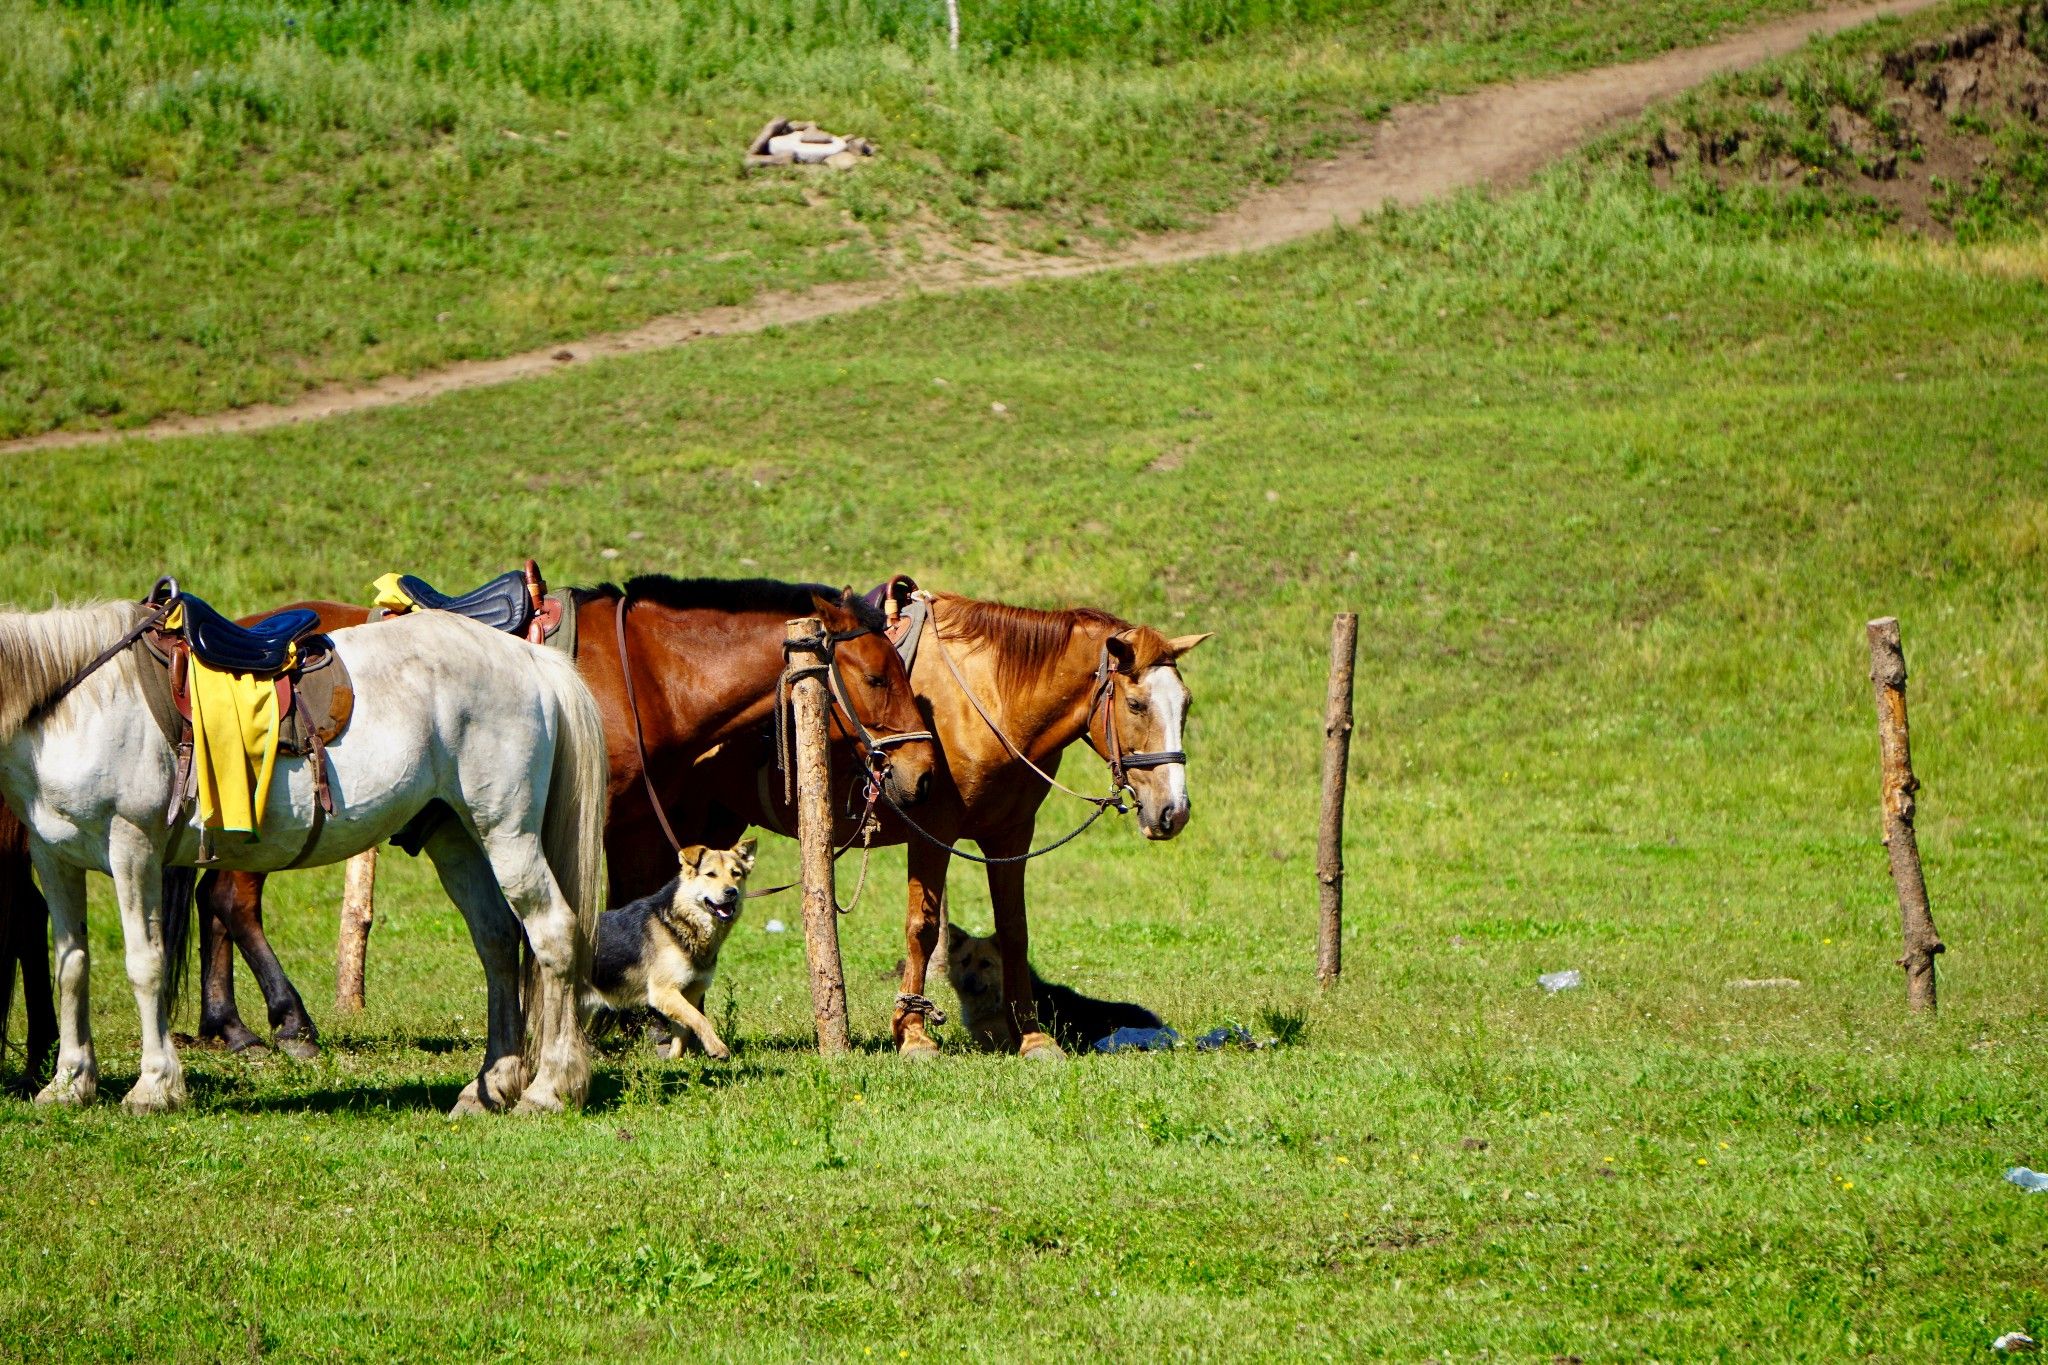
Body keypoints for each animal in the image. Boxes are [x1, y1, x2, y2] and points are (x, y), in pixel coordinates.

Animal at [0, 605, 606, 1113]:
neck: (76, 705)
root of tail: (530, 660)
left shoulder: (133, 848)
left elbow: (144, 963)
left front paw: (154, 1087)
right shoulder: (55, 858)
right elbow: (70, 965)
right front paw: (68, 1084)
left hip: (507, 832)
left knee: (552, 935)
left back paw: (550, 1089)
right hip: (455, 837)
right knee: (497, 941)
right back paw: (491, 1086)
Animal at [585, 839, 761, 1064]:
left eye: (736, 873)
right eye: (710, 874)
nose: (731, 892)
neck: (681, 922)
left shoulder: (690, 993)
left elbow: (684, 1029)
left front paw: (673, 1060)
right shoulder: (664, 992)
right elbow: (700, 1019)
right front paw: (717, 1048)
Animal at [937, 925, 1163, 1055]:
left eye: (986, 964)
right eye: (965, 961)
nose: (968, 982)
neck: (998, 999)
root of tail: (1159, 1027)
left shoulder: (1000, 1043)